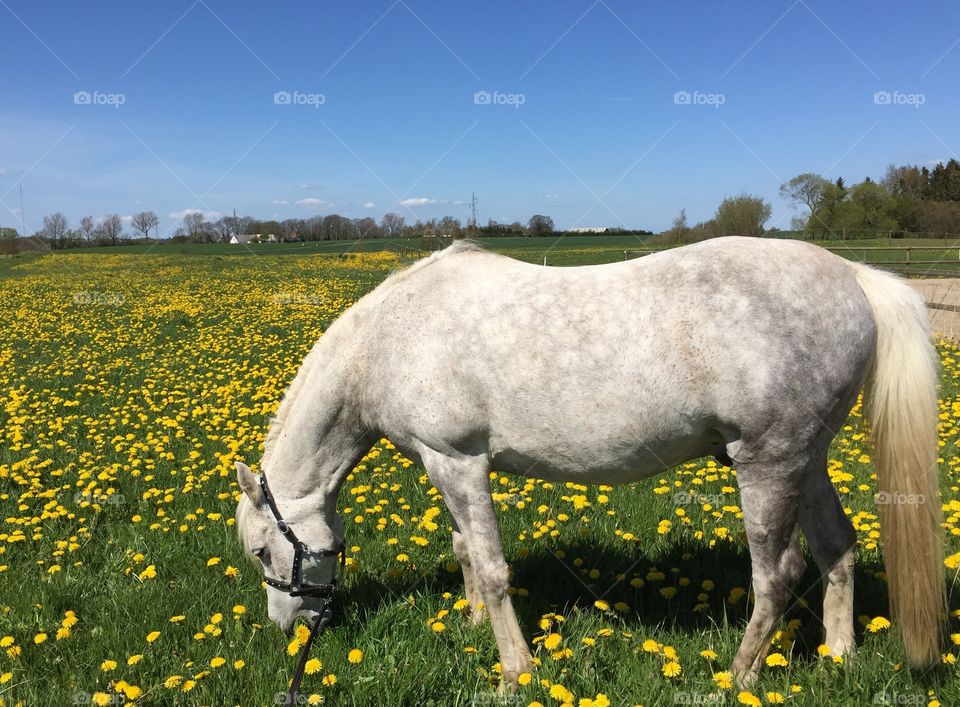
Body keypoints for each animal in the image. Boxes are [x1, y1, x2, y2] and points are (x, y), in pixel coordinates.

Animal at [235, 237, 945, 689]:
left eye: (264, 552)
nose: (289, 628)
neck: (391, 340)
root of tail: (853, 276)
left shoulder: (458, 462)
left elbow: (491, 566)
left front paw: (515, 672)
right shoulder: (444, 467)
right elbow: (466, 550)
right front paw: (471, 623)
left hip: (769, 463)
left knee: (779, 573)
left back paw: (737, 676)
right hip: (809, 457)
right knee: (838, 549)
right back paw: (838, 656)